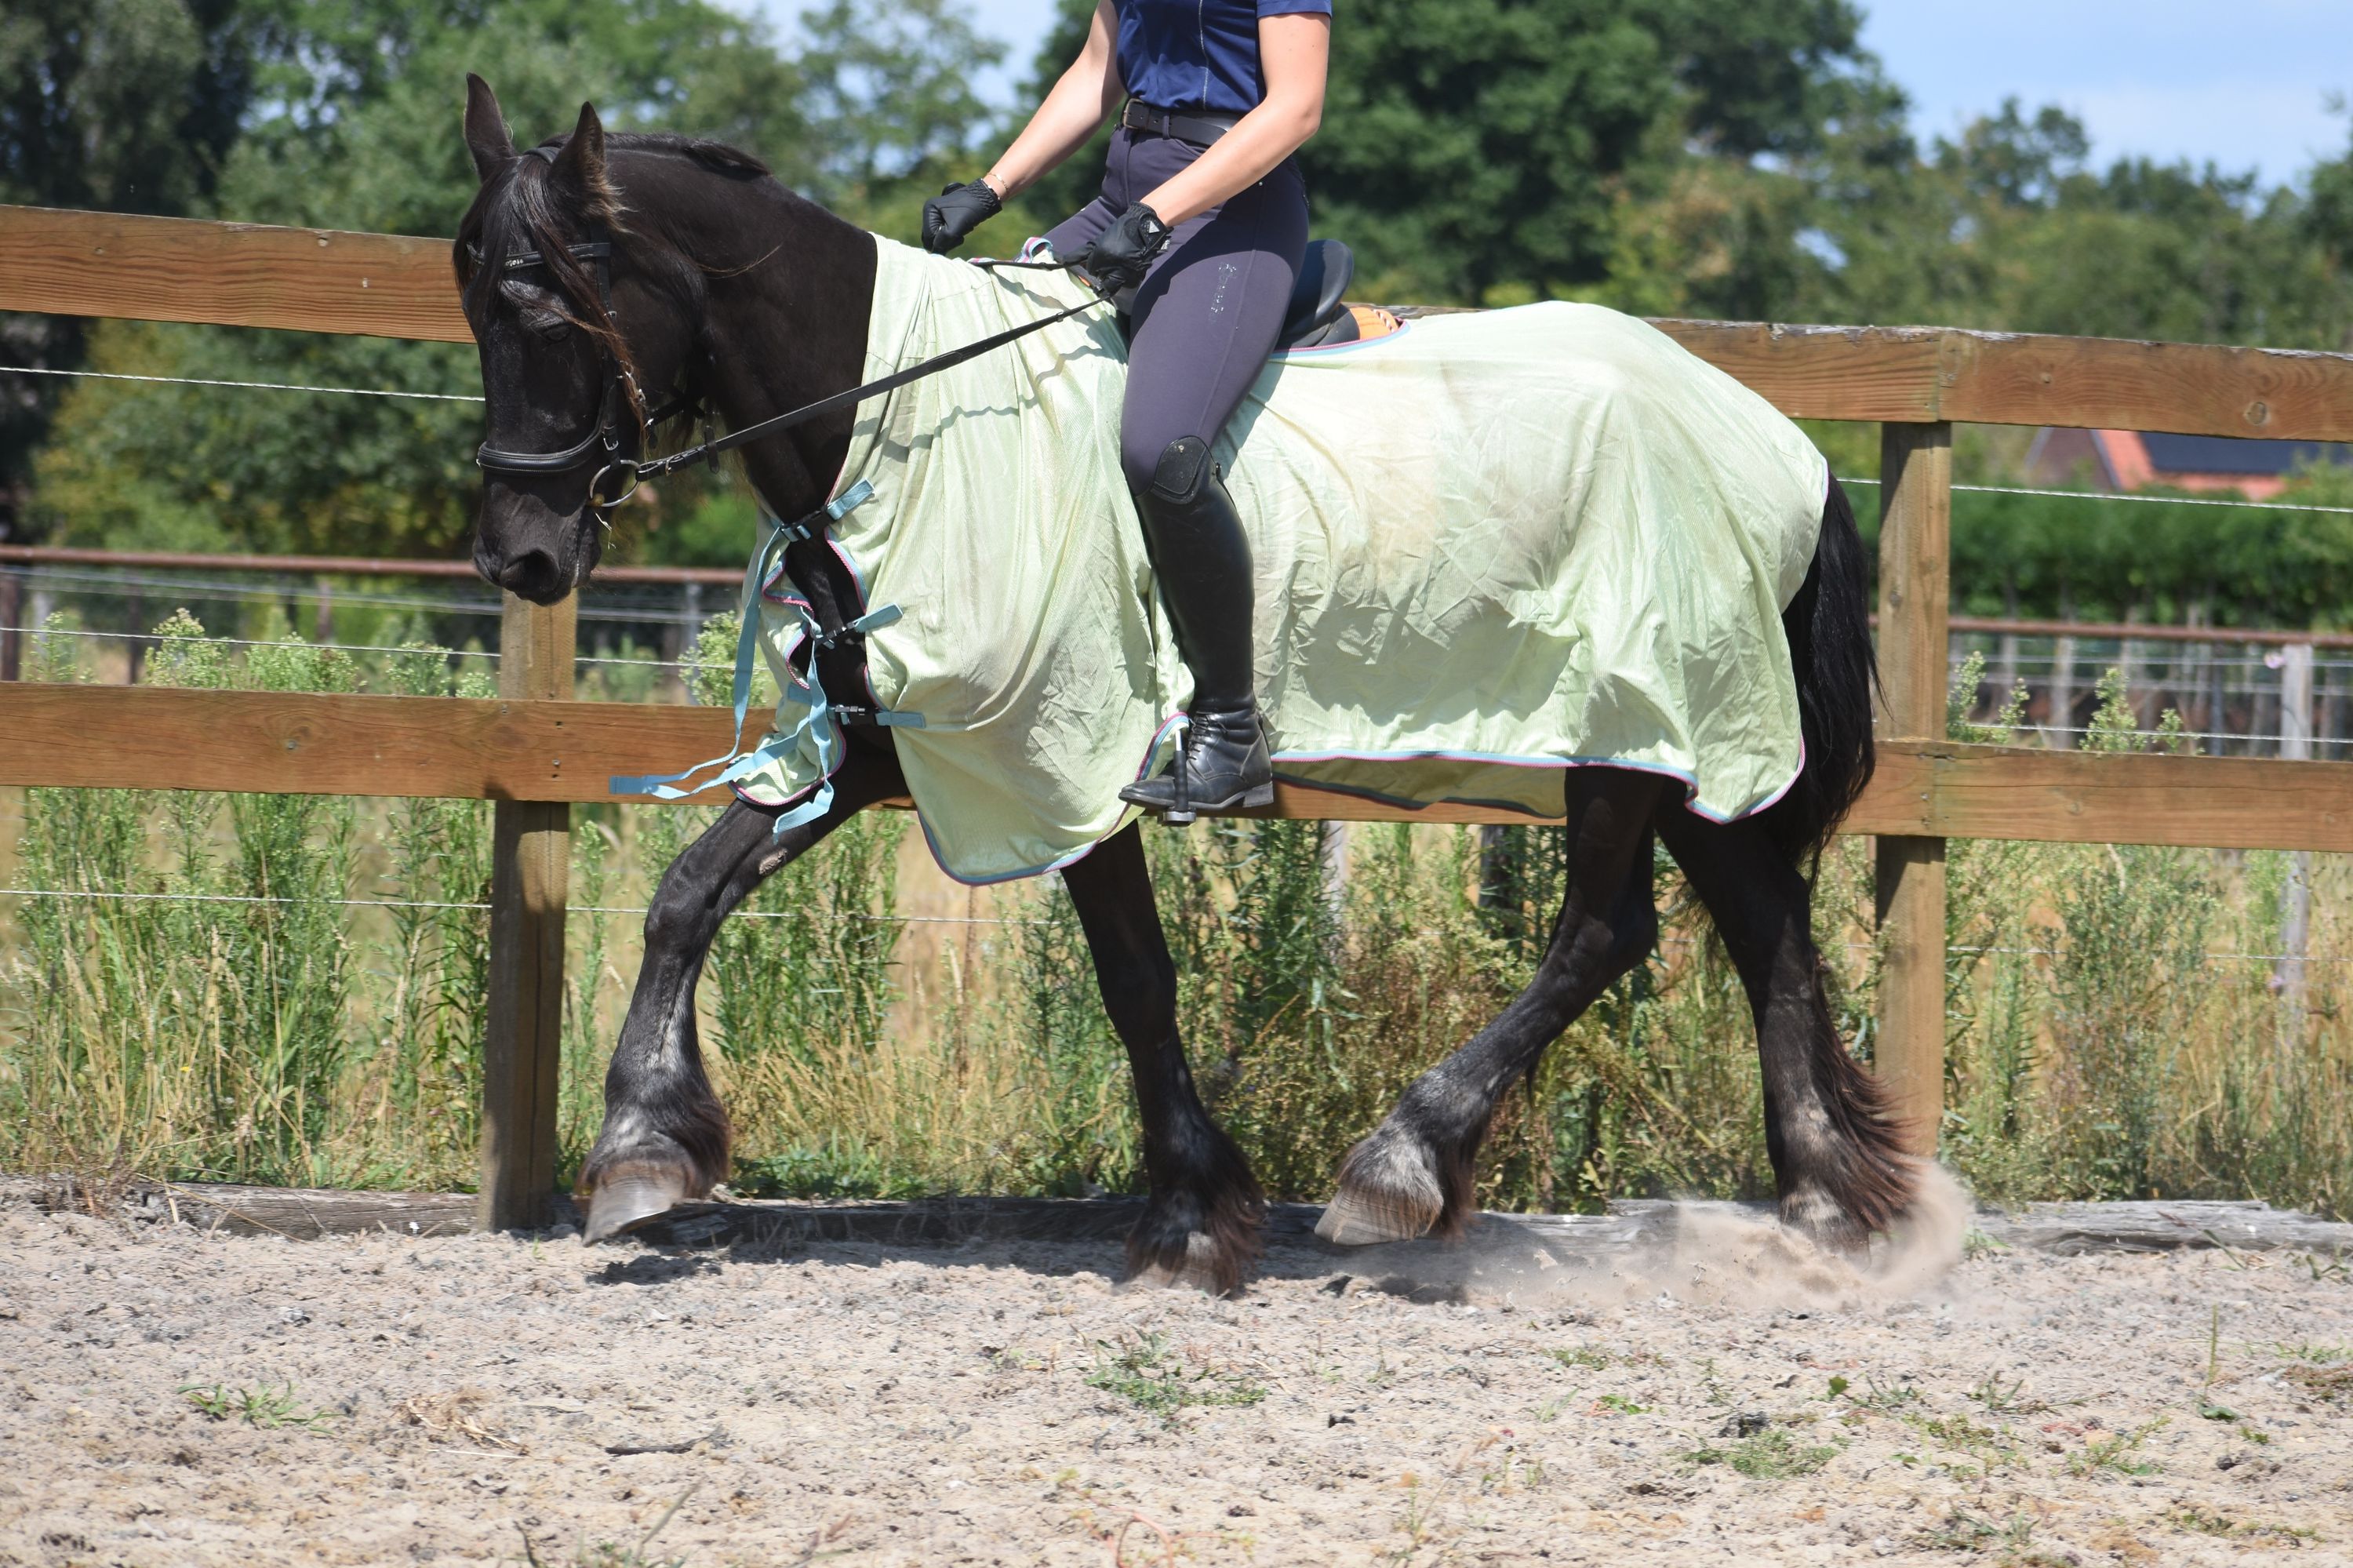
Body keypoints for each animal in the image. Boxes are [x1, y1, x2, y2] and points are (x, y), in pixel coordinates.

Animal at [453, 79, 1918, 1292]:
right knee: (1764, 922)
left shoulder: (1058, 751)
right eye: (474, 307)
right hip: (1692, 740)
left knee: (1605, 932)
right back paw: (1826, 1205)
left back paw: (1403, 1164)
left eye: (543, 306)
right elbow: (690, 888)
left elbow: (1133, 972)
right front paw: (641, 1141)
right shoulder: (884, 738)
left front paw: (1192, 1215)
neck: (900, 419)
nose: (520, 554)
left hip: (1628, 727)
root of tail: (1770, 432)